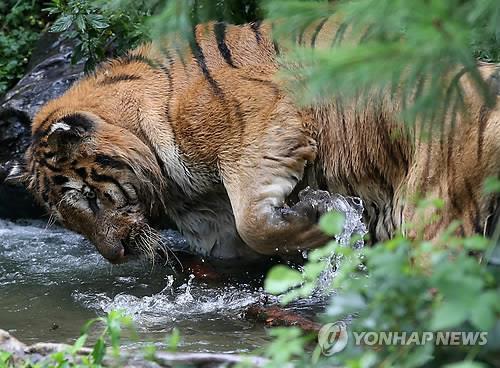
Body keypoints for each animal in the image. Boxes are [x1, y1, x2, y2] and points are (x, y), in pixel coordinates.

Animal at [5, 18, 498, 264]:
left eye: (89, 196)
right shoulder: (212, 226)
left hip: (433, 220)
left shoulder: (264, 132)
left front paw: (319, 223)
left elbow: (255, 224)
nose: (117, 255)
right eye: (69, 220)